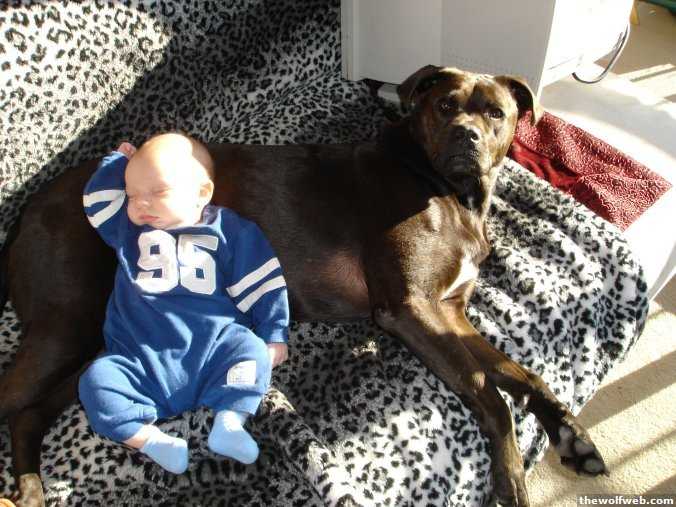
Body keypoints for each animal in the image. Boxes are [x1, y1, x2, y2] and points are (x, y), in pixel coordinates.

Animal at [0, 66, 607, 507]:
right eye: (445, 106)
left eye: (496, 113)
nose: (467, 136)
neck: (444, 186)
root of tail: (28, 208)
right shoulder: (410, 308)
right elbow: (489, 391)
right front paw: (511, 479)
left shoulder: (450, 312)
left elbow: (519, 374)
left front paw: (572, 437)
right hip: (66, 323)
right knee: (14, 395)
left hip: (92, 338)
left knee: (31, 411)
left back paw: (29, 487)